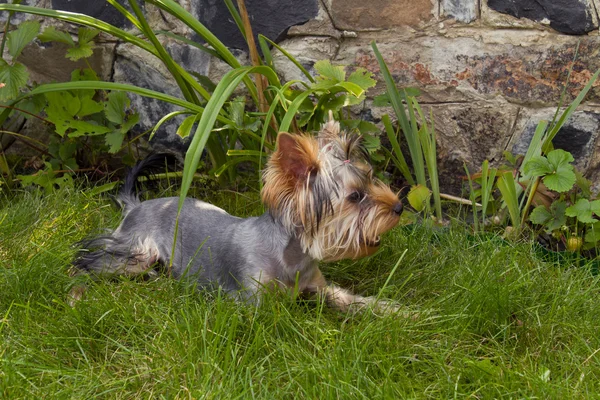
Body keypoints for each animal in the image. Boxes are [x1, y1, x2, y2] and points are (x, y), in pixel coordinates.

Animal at [72, 117, 406, 314]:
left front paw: (400, 312)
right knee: (89, 261)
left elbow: (351, 299)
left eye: (371, 179)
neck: (291, 256)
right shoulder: (252, 303)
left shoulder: (320, 289)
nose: (399, 206)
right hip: (136, 253)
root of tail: (135, 205)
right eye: (355, 197)